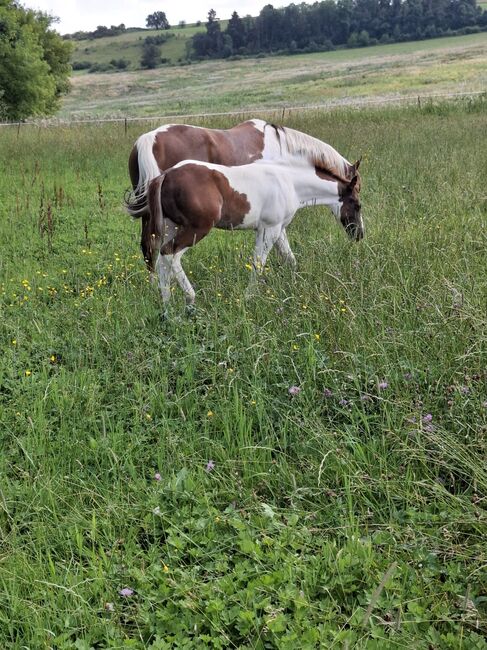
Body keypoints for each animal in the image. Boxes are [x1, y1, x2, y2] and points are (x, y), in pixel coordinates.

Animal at [126, 131, 362, 306]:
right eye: (357, 205)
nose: (359, 234)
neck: (288, 180)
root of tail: (164, 176)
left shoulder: (278, 229)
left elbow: (290, 259)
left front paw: (295, 285)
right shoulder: (268, 229)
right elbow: (258, 264)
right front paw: (249, 297)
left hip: (171, 226)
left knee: (159, 259)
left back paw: (166, 304)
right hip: (196, 229)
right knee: (169, 254)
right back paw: (190, 299)